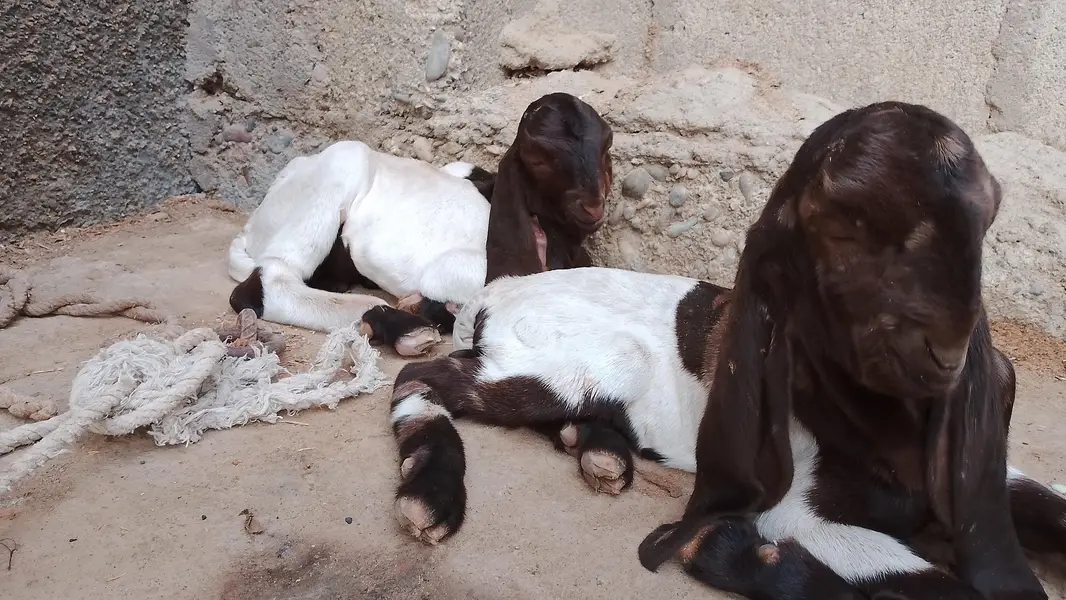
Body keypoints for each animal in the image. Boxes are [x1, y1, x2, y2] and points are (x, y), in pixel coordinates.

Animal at [386, 103, 1066, 599]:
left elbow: (1048, 507)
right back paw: (431, 495)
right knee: (421, 379)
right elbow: (929, 582)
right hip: (575, 363)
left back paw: (597, 451)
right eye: (840, 229)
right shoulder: (798, 514)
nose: (945, 349)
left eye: (984, 223)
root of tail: (506, 284)